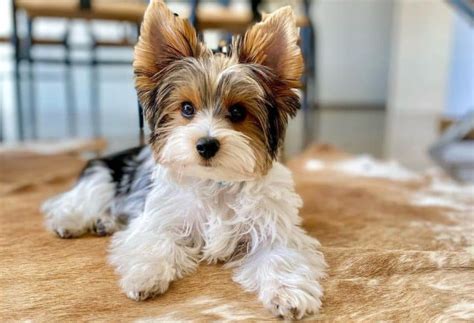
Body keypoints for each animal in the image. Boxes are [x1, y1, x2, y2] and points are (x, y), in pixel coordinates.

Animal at [42, 0, 326, 318]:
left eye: (238, 112)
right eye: (187, 108)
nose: (206, 144)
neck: (215, 181)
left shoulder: (272, 228)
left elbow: (280, 255)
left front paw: (288, 293)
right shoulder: (161, 217)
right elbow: (155, 240)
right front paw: (145, 275)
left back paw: (105, 222)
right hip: (104, 175)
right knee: (80, 198)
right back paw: (71, 221)